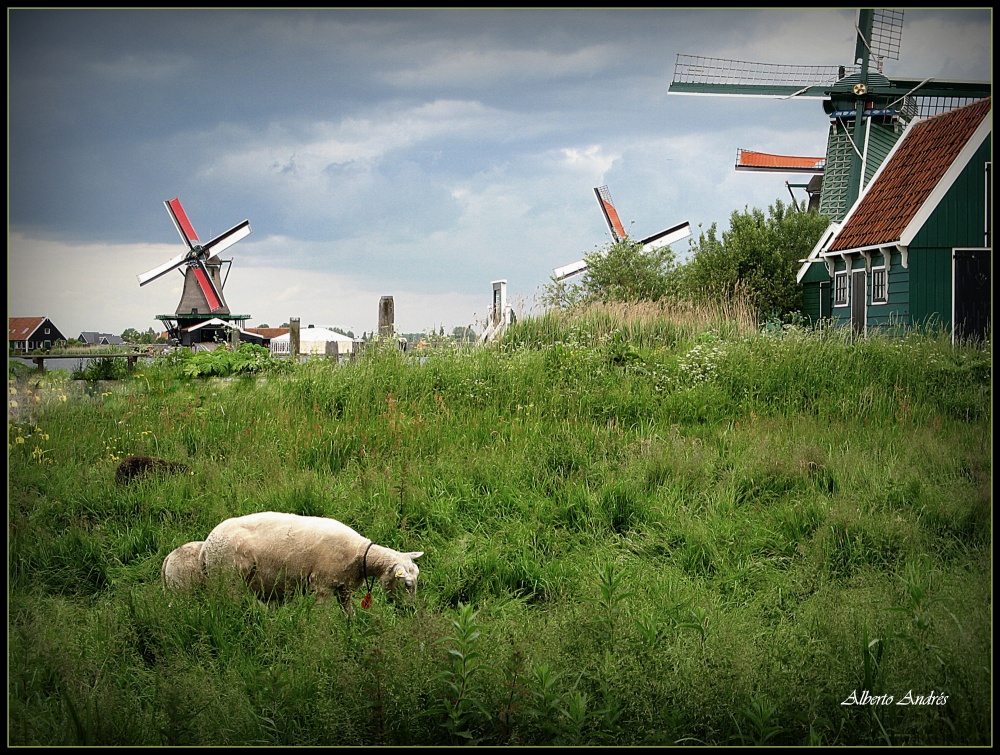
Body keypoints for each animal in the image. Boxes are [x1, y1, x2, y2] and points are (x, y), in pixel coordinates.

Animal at [201, 510, 424, 612]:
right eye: (407, 584)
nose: (410, 610)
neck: (360, 554)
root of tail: (206, 546)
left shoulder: (343, 587)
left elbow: (349, 614)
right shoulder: (323, 585)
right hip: (228, 578)